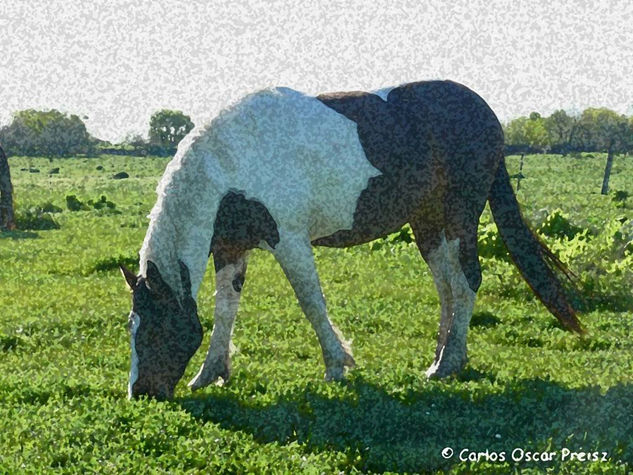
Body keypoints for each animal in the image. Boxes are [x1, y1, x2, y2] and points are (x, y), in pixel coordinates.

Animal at [121, 82, 580, 402]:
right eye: (132, 326)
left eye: (156, 329)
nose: (140, 393)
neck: (231, 162)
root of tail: (486, 113)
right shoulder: (231, 249)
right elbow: (225, 310)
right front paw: (211, 372)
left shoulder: (289, 240)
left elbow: (311, 302)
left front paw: (337, 365)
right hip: (427, 226)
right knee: (447, 287)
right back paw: (440, 359)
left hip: (459, 217)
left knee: (466, 282)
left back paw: (449, 363)